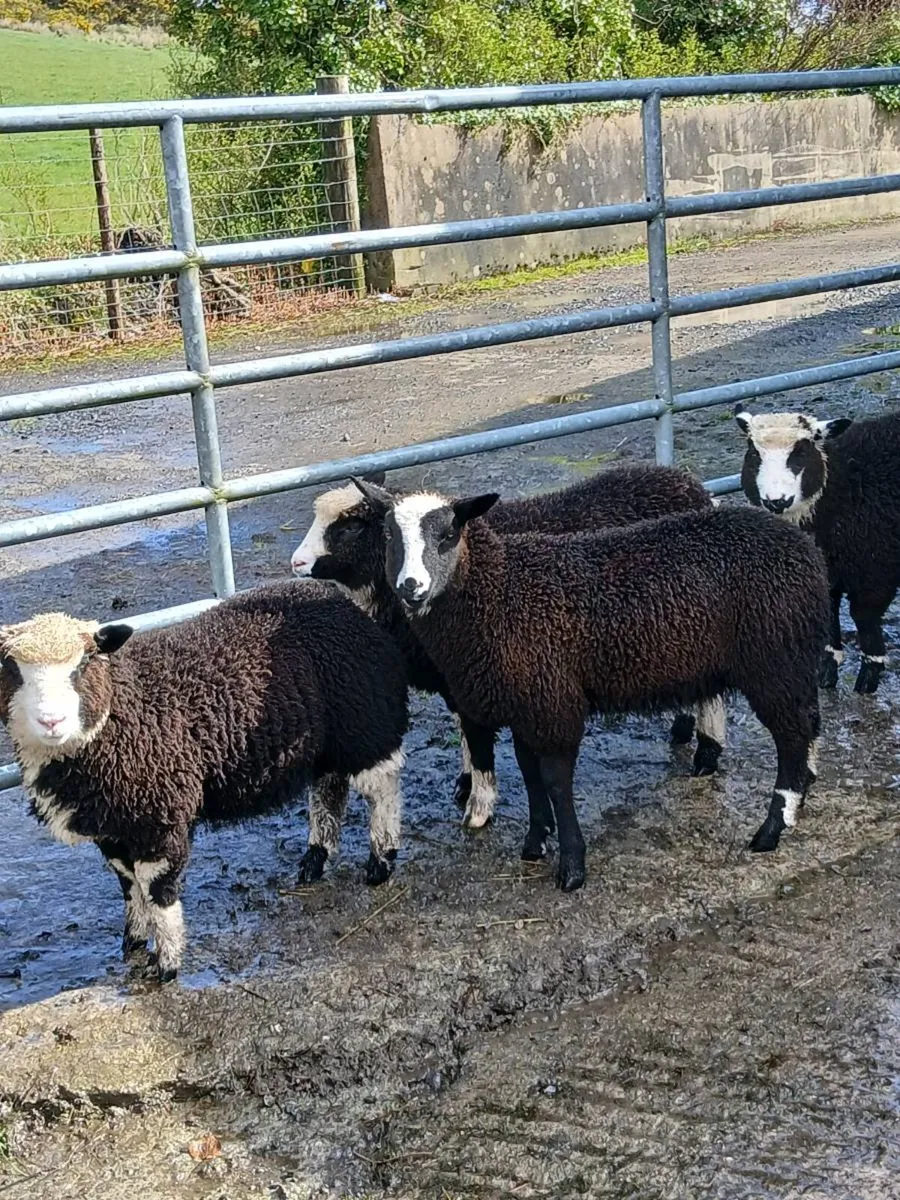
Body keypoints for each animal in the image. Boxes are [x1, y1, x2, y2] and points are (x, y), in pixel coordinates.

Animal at [0, 582, 408, 982]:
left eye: (83, 664)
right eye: (12, 669)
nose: (51, 721)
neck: (122, 710)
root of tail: (338, 599)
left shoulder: (158, 816)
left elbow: (158, 889)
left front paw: (166, 964)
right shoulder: (114, 826)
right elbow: (129, 886)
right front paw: (133, 941)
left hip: (363, 721)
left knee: (382, 788)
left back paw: (381, 860)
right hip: (326, 741)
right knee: (329, 790)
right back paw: (314, 860)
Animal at [291, 464, 725, 843]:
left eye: (350, 527)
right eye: (387, 535)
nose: (296, 562)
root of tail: (691, 486)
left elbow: (476, 737)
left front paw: (478, 805)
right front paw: (467, 784)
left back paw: (707, 752)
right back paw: (683, 728)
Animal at [354, 481, 829, 891]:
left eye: (449, 533)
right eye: (390, 534)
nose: (410, 587)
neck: (500, 594)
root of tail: (805, 553)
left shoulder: (553, 701)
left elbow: (555, 781)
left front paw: (571, 866)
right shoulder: (527, 702)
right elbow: (529, 773)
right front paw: (535, 842)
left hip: (773, 661)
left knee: (790, 737)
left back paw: (772, 828)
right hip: (791, 660)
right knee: (808, 722)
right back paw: (801, 796)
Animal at [734, 404, 900, 694]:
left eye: (801, 452)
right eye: (754, 453)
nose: (776, 501)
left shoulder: (877, 570)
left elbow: (863, 616)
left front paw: (869, 675)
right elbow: (829, 615)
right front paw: (827, 670)